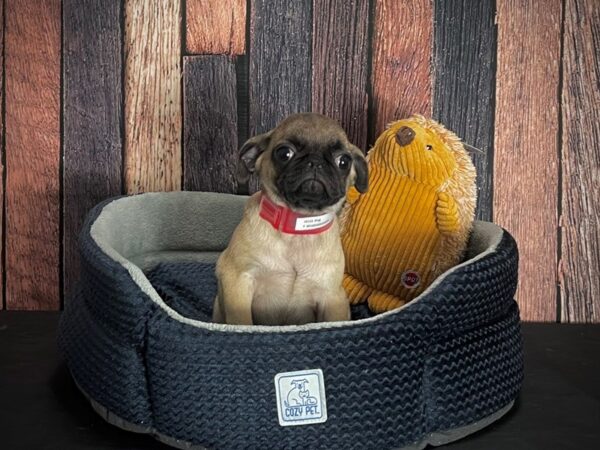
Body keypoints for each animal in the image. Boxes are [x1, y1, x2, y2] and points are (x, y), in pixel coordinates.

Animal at [213, 112, 368, 324]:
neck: (297, 226)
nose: (315, 162)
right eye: (284, 153)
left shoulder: (333, 298)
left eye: (344, 161)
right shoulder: (238, 280)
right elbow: (241, 322)